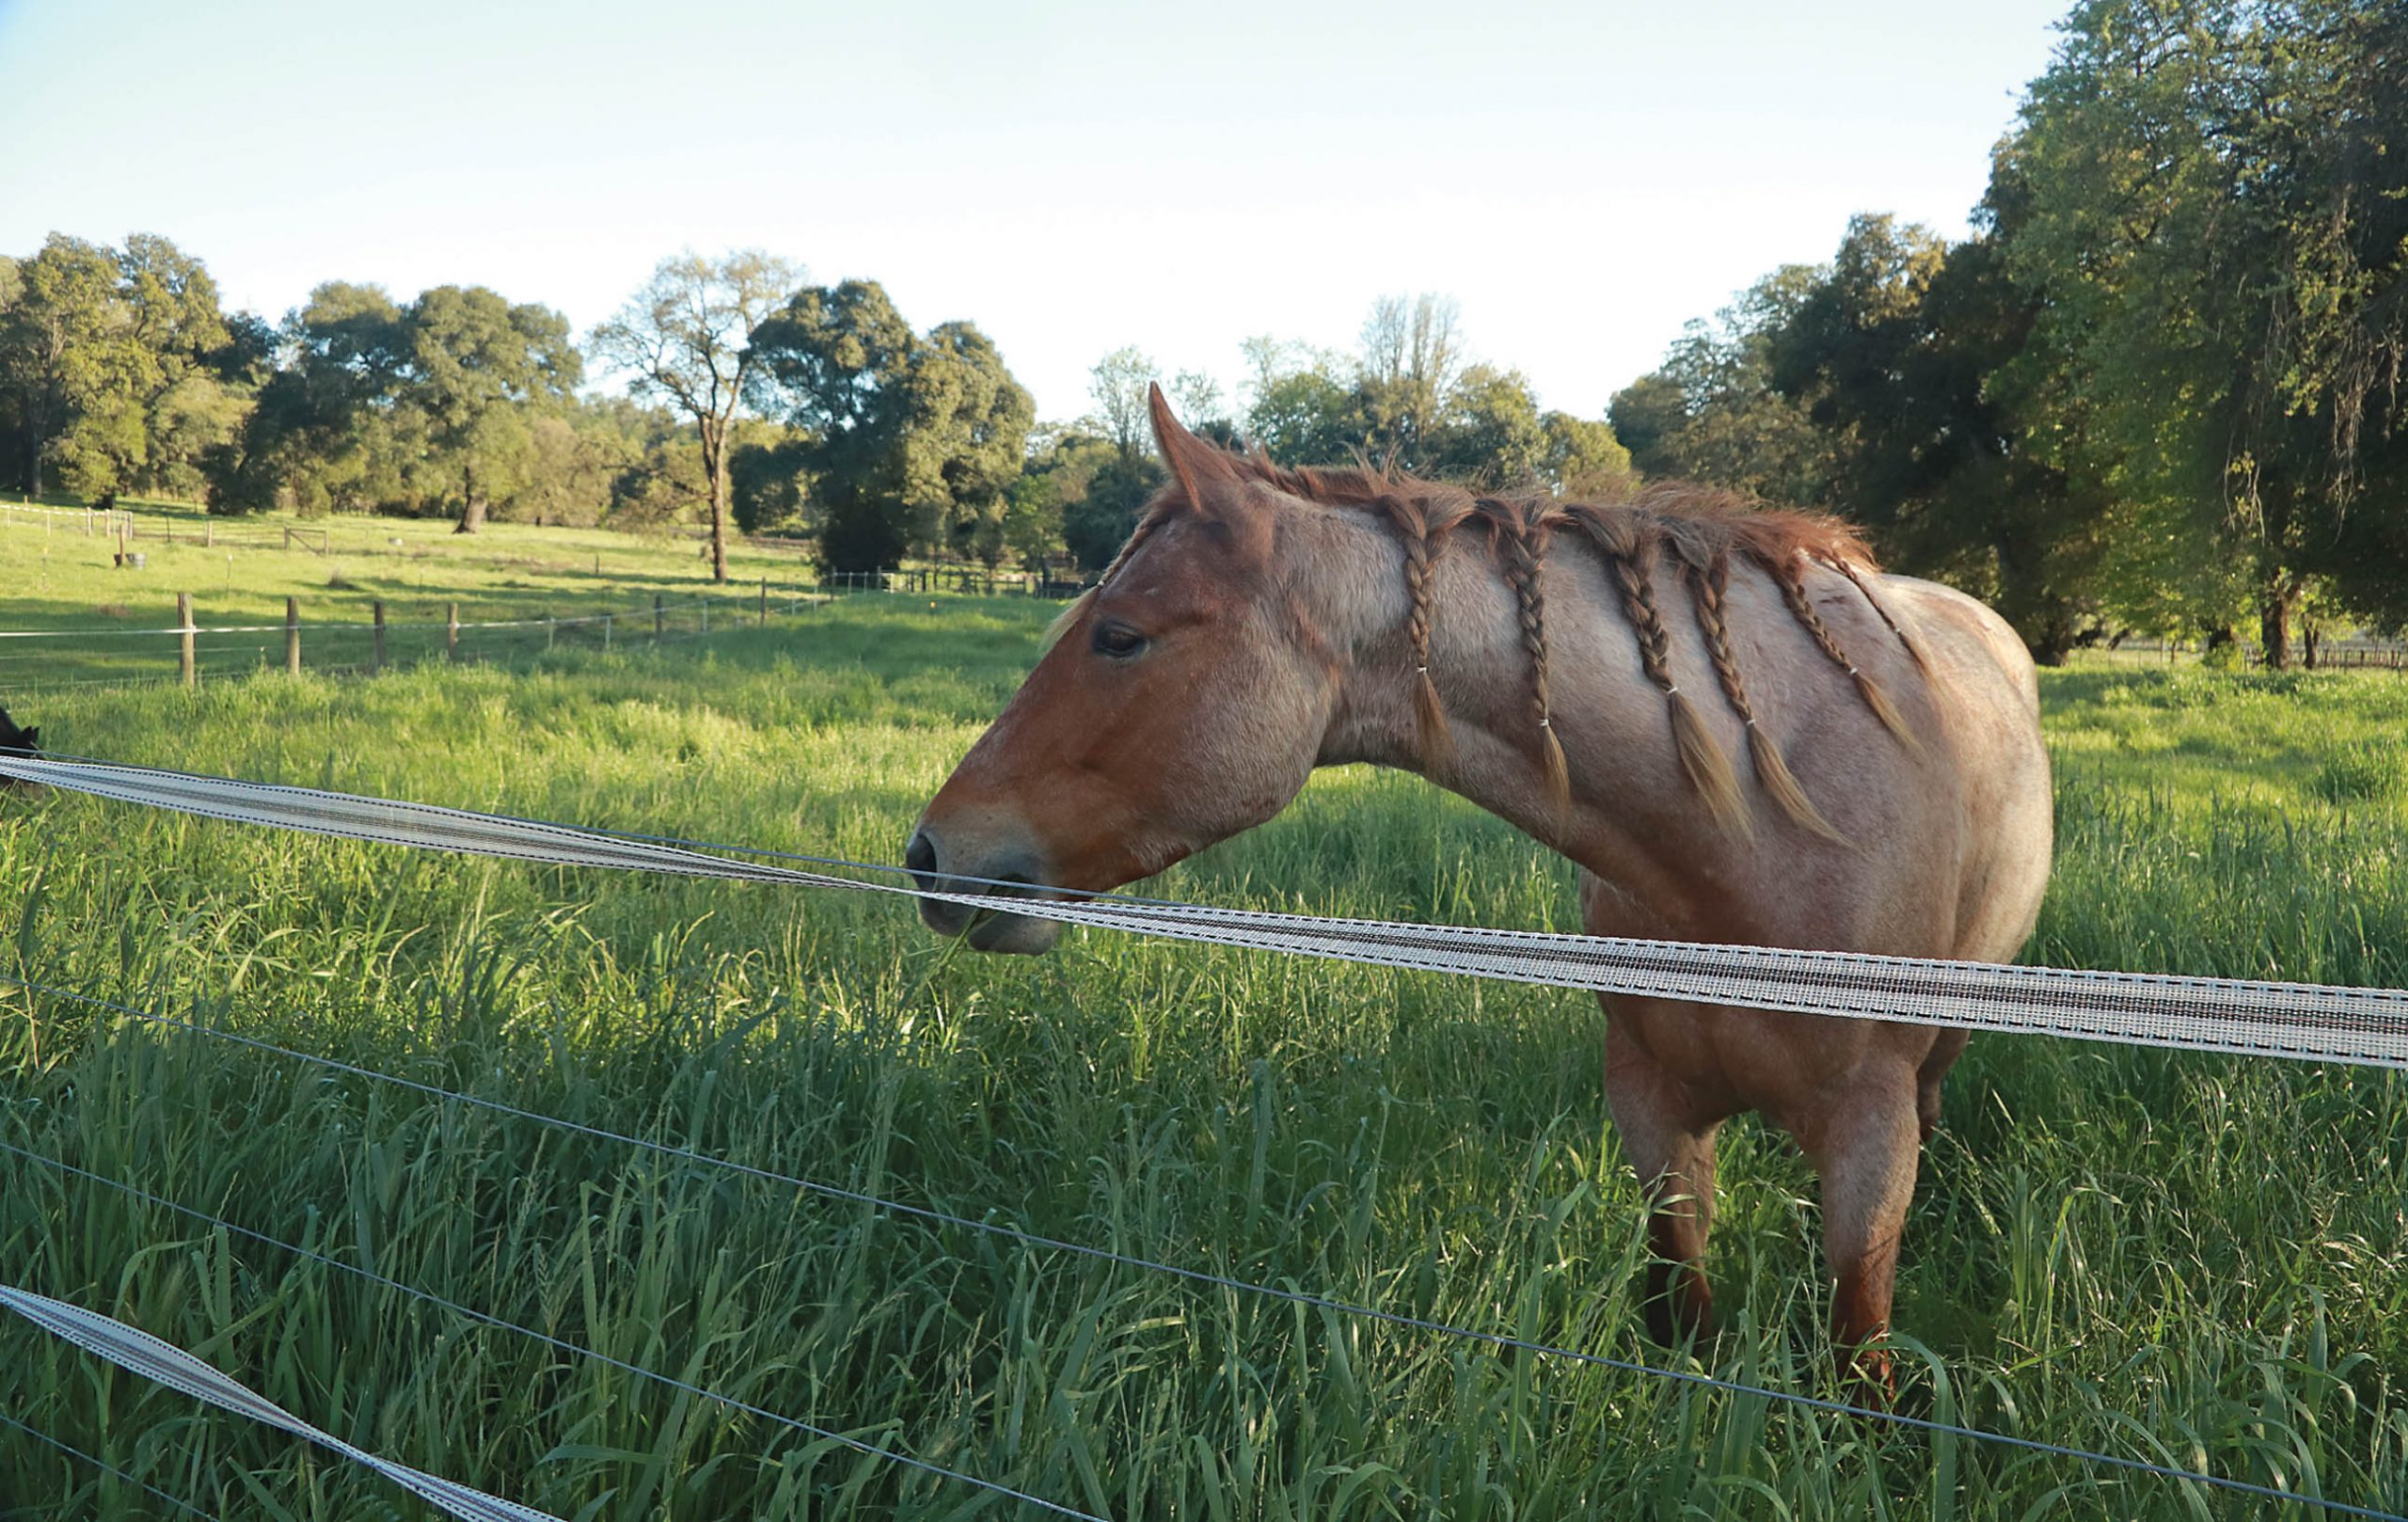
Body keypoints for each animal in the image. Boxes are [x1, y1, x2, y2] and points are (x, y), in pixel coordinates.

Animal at [905, 385, 2052, 1387]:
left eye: (1120, 636)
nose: (930, 854)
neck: (1758, 838)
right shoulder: (1652, 1110)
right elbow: (1679, 1309)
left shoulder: (1869, 1138)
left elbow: (1859, 1355)